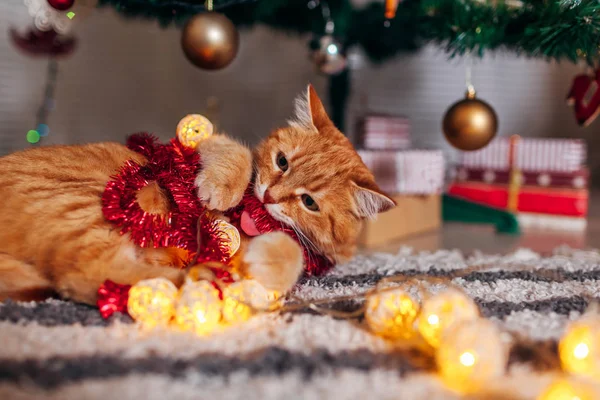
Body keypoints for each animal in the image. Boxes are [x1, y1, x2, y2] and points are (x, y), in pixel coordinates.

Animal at [0, 84, 394, 304]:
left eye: (309, 202)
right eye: (282, 161)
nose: (269, 197)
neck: (253, 218)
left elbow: (290, 254)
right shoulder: (190, 143)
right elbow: (236, 153)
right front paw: (220, 190)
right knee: (85, 275)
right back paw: (204, 277)